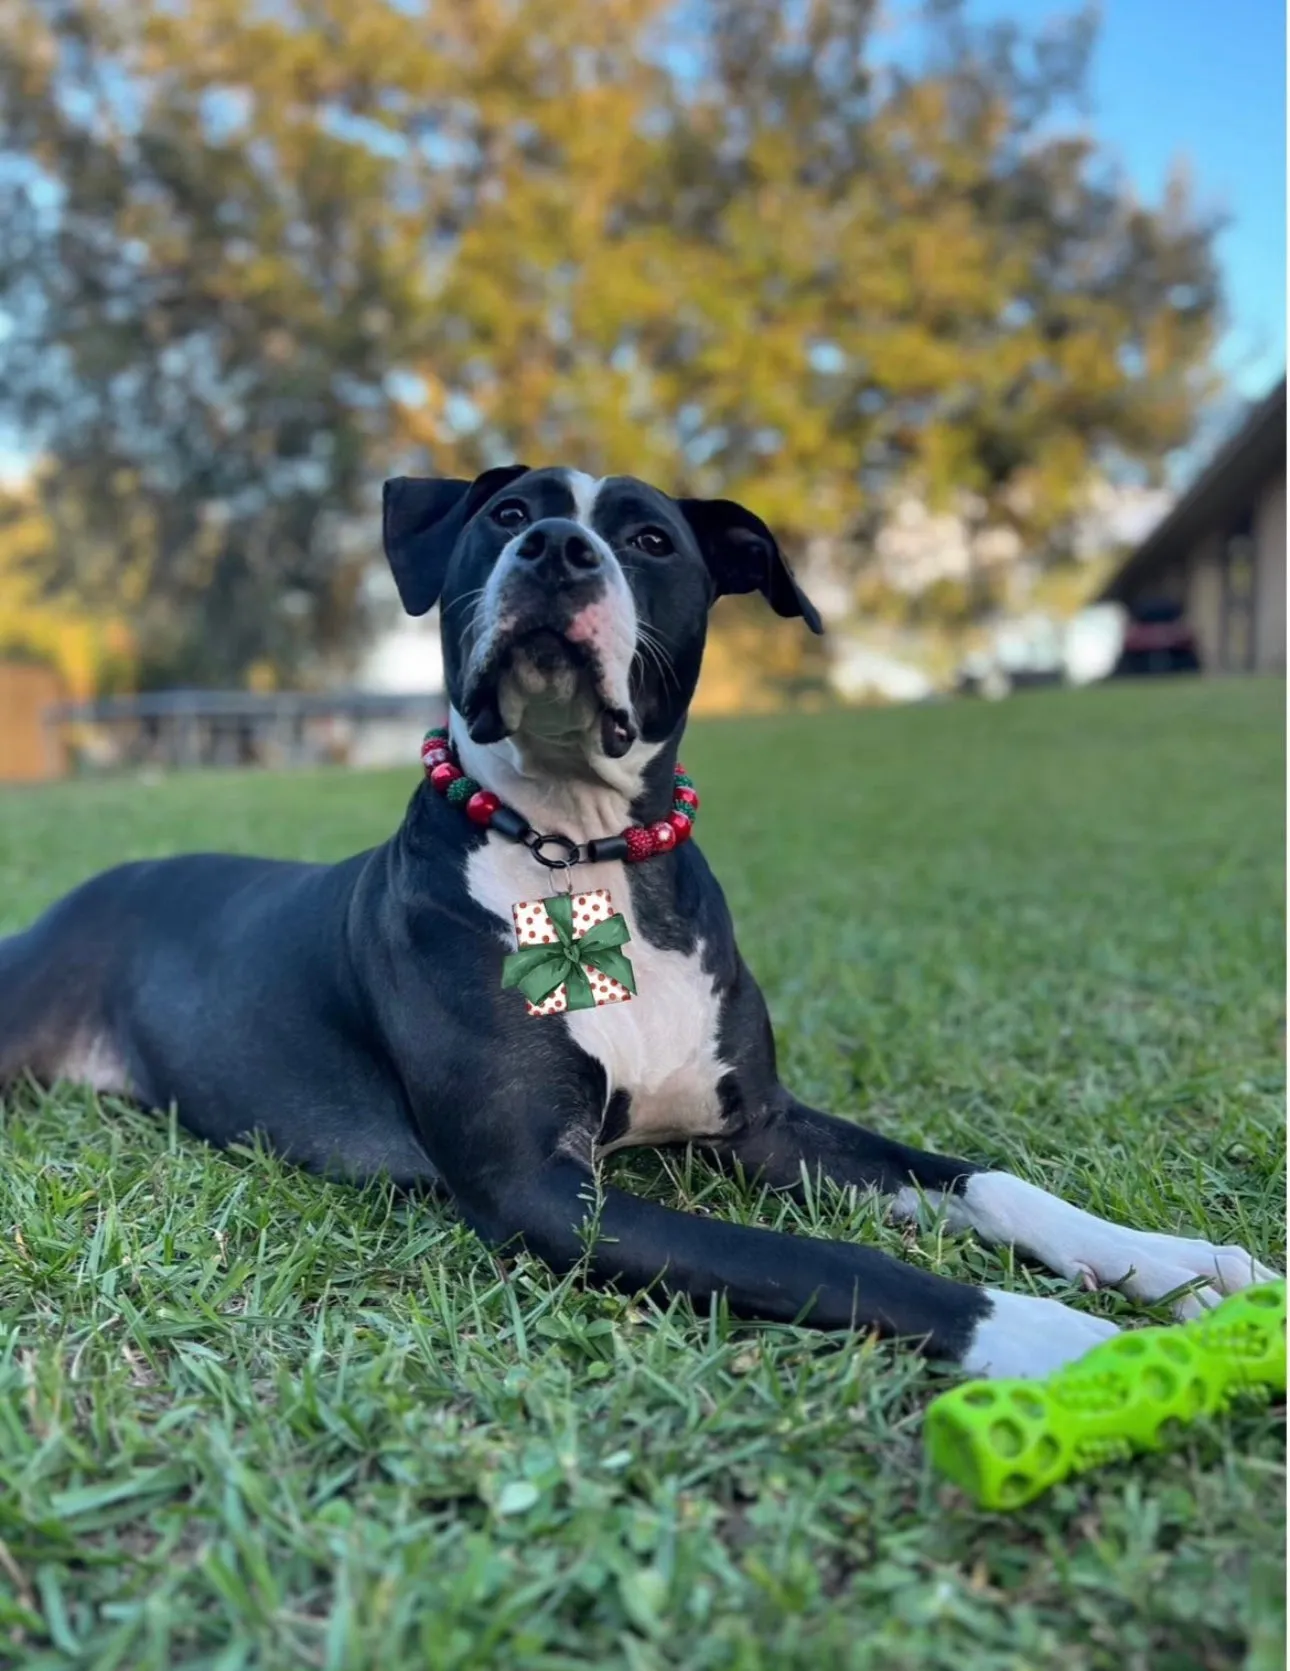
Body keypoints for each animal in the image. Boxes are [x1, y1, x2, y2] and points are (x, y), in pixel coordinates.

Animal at [0, 464, 1269, 1376]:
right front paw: (1053, 1336)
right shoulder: (542, 1190)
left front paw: (1173, 1263)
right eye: (506, 513)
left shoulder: (762, 1126)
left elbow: (991, 1183)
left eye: (651, 539)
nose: (557, 551)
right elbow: (828, 1258)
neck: (582, 854)